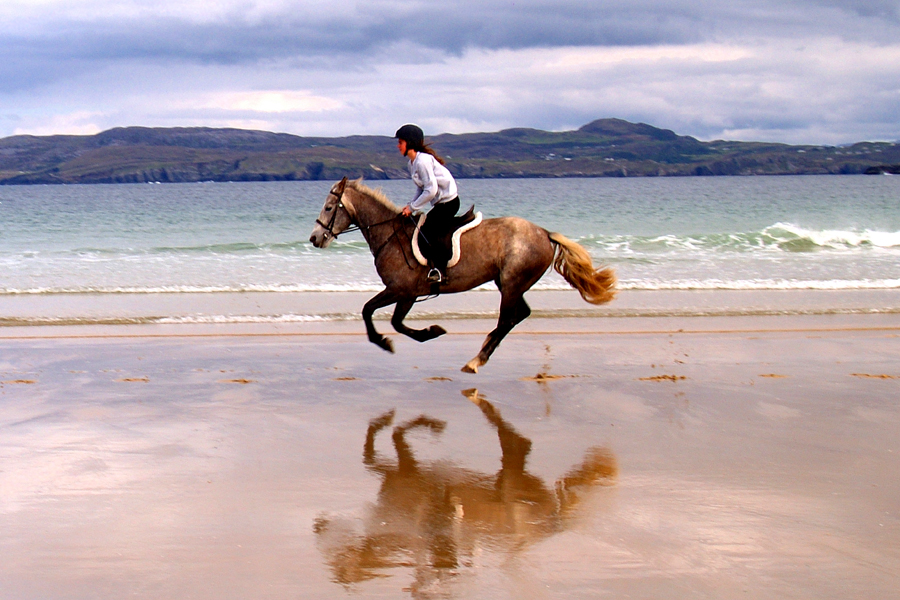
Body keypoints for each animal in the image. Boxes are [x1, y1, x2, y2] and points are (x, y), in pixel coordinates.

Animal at [309, 177, 616, 373]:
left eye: (329, 207)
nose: (314, 238)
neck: (390, 236)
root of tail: (544, 233)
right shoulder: (404, 293)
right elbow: (380, 315)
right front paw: (416, 335)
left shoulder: (403, 291)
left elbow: (380, 316)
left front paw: (412, 336)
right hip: (509, 282)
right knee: (520, 315)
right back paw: (484, 349)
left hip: (512, 283)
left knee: (508, 319)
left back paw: (476, 360)